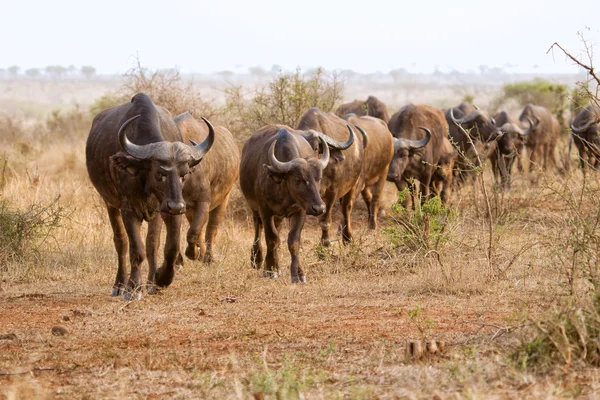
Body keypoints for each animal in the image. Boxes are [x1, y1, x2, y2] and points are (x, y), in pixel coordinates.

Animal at [85, 94, 214, 298]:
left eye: (184, 174)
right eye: (160, 173)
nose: (176, 206)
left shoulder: (165, 211)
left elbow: (167, 247)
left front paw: (160, 279)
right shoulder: (129, 209)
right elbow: (136, 249)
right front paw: (133, 287)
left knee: (152, 244)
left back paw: (151, 282)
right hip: (110, 204)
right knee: (120, 242)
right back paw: (119, 285)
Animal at [240, 125, 330, 282]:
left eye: (318, 178)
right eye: (299, 179)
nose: (319, 208)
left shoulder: (300, 211)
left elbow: (293, 241)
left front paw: (298, 274)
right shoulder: (265, 210)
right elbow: (271, 238)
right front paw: (270, 270)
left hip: (279, 216)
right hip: (255, 209)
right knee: (259, 229)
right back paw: (258, 259)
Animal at [296, 109, 360, 247]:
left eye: (315, 148)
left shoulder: (331, 192)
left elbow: (325, 220)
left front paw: (325, 242)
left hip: (352, 185)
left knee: (346, 208)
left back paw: (347, 237)